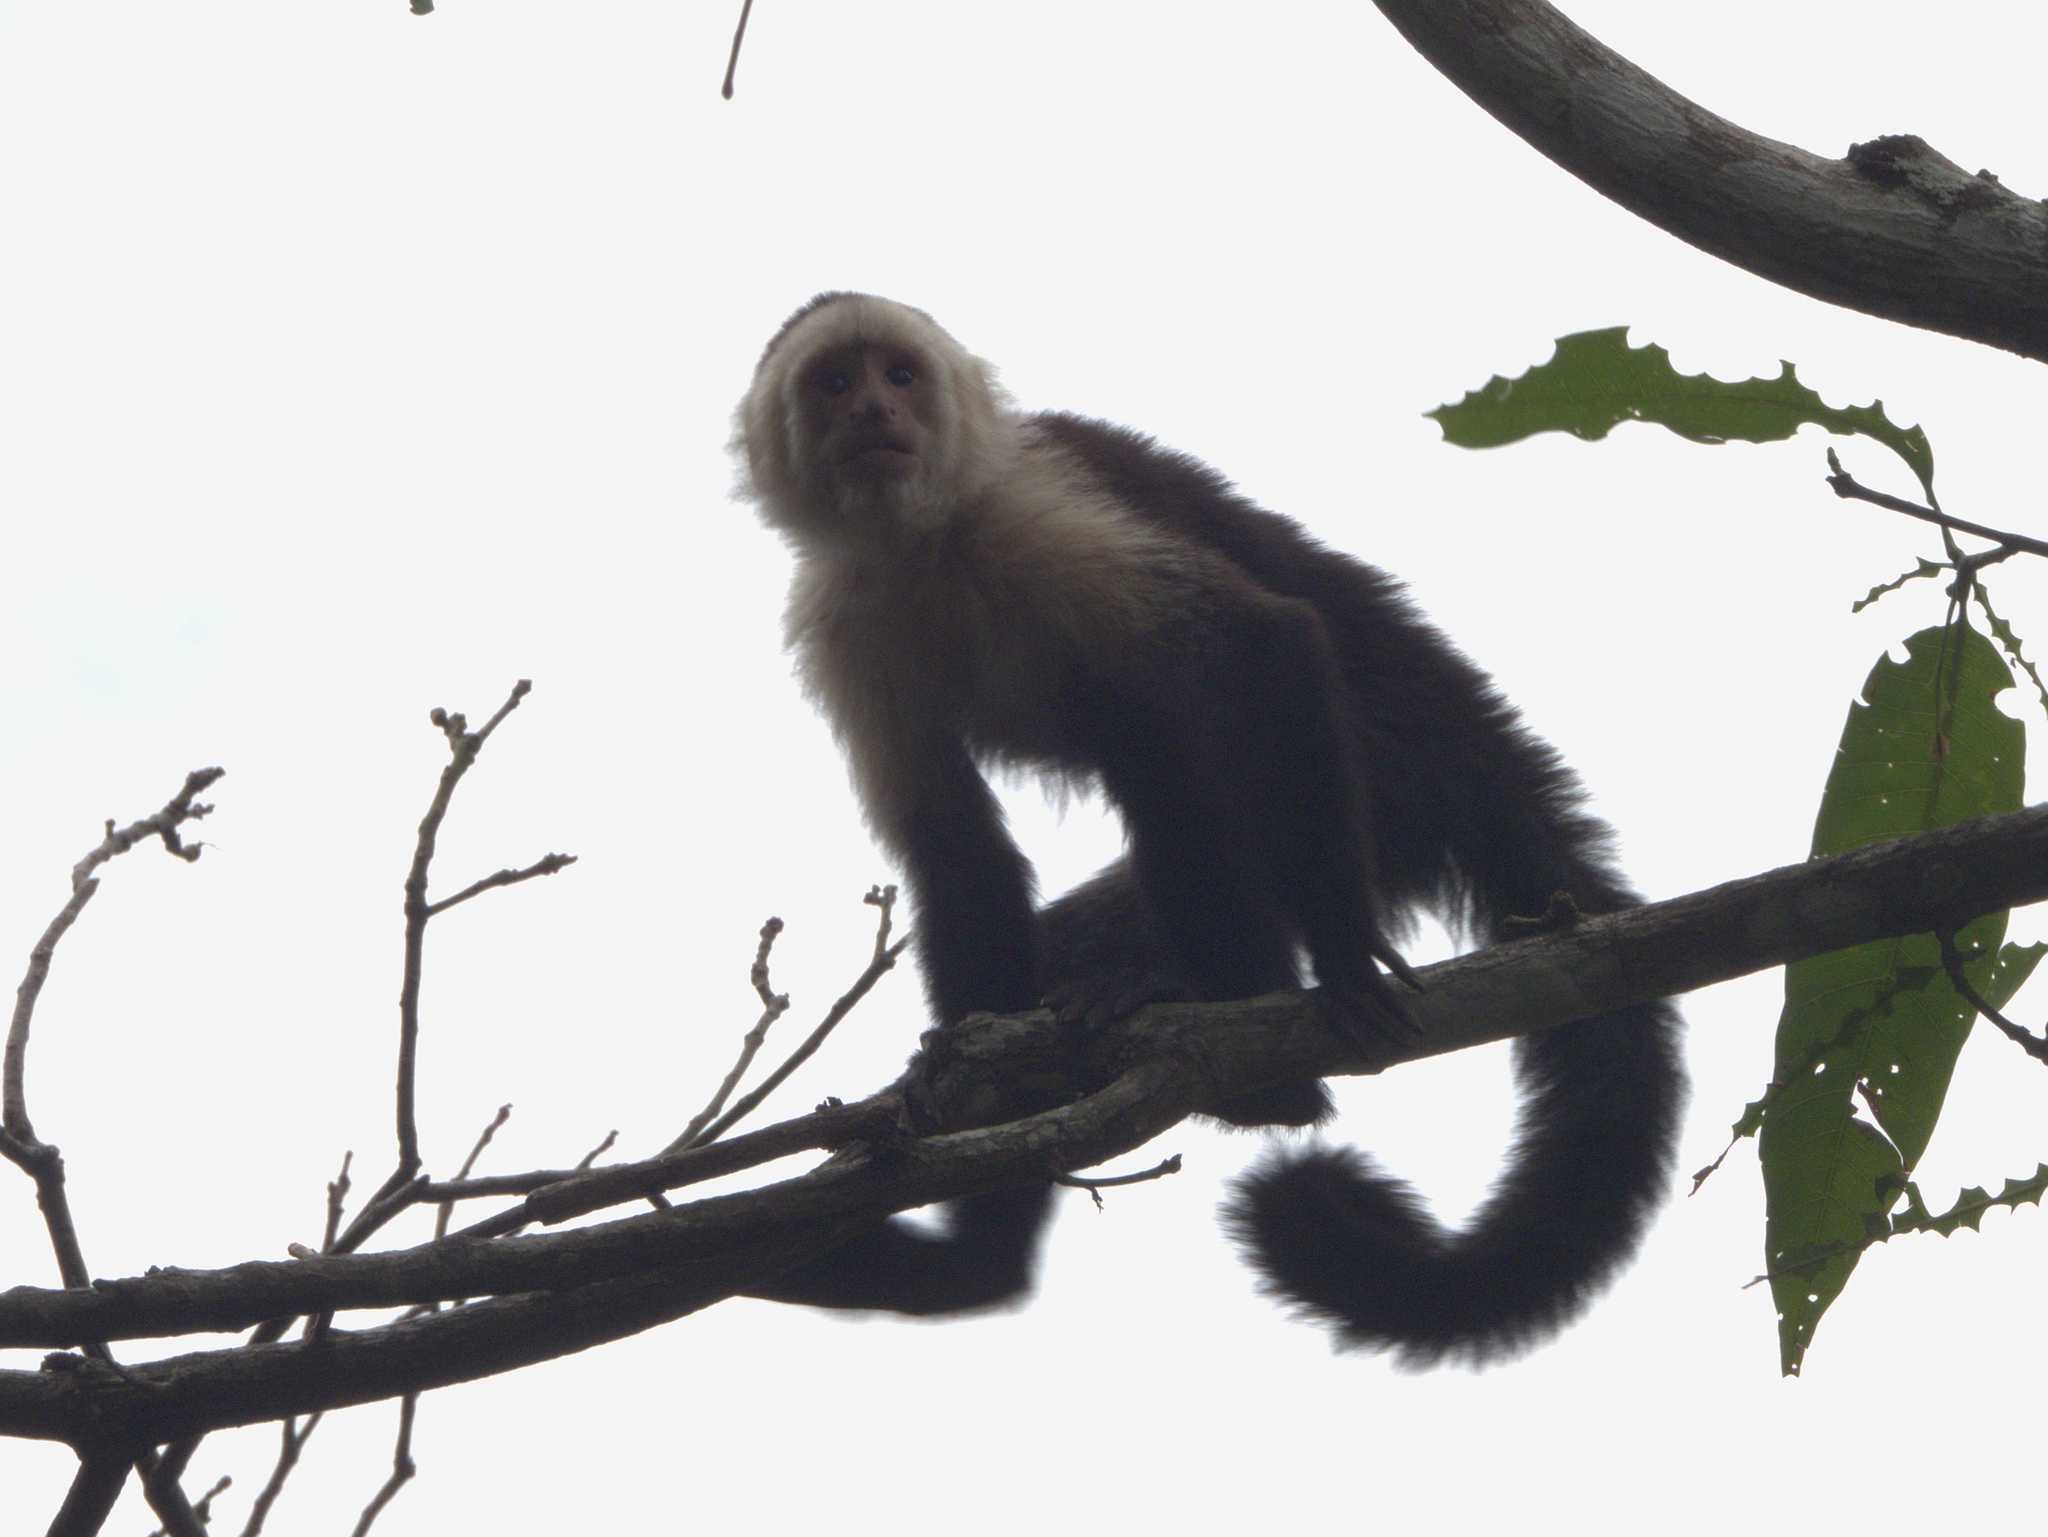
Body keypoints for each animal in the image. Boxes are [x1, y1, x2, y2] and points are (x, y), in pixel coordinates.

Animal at [731, 293, 1685, 1364]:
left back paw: (1251, 1050)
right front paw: (964, 1101)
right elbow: (952, 847)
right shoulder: (845, 622)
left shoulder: (1038, 513)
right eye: (833, 383)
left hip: (1383, 778)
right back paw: (986, 1252)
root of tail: (1463, 726)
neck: (926, 541)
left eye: (899, 375)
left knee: (1170, 727)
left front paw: (1344, 959)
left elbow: (1263, 641)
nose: (873, 415)